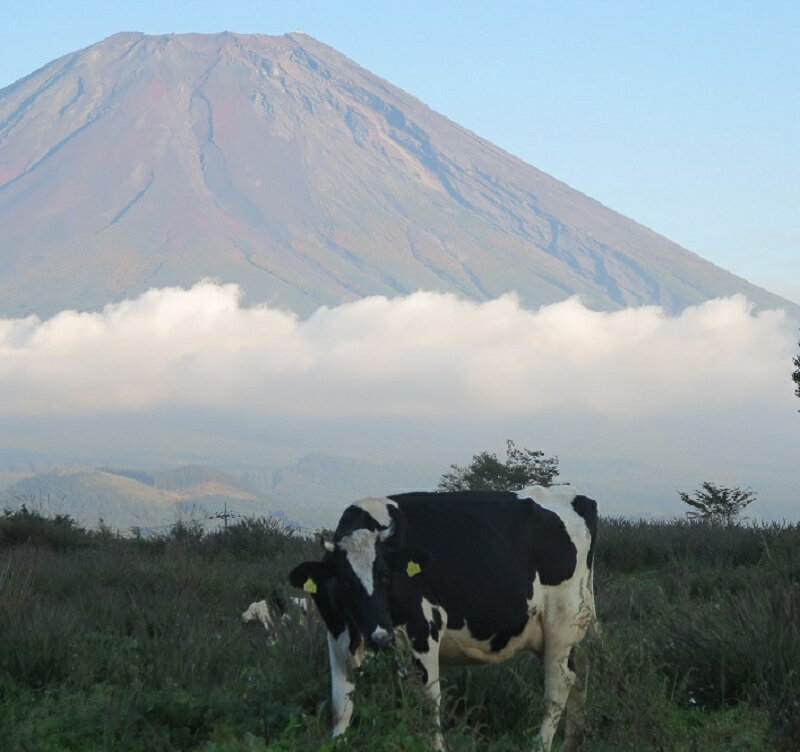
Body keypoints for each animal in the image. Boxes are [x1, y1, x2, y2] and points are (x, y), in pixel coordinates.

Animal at [286, 484, 592, 748]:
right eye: (347, 583)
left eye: (385, 576)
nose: (380, 636)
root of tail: (572, 494)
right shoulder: (336, 635)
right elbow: (340, 705)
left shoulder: (424, 628)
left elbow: (428, 701)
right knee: (577, 677)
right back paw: (572, 743)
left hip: (561, 625)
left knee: (558, 687)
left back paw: (541, 745)